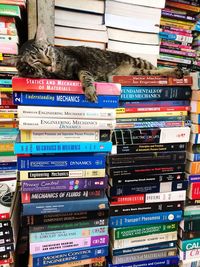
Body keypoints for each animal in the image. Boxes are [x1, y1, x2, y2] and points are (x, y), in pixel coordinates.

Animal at [13, 25, 187, 102]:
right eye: (36, 59)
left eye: (46, 50)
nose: (48, 62)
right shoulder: (52, 75)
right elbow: (38, 73)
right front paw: (24, 67)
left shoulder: (80, 66)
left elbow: (86, 77)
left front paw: (90, 91)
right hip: (136, 72)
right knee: (154, 72)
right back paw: (176, 72)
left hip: (138, 62)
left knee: (157, 68)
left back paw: (180, 72)